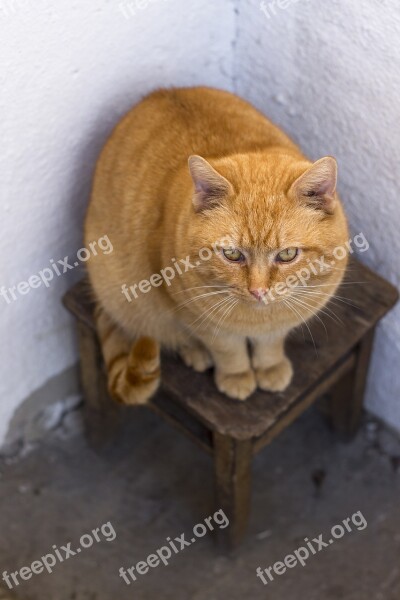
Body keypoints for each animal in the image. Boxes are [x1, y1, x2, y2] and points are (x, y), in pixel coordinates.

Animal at [85, 85, 350, 404]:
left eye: (287, 254)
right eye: (232, 254)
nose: (258, 291)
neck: (256, 318)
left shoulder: (283, 320)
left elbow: (272, 341)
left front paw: (270, 366)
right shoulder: (195, 315)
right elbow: (227, 349)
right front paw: (236, 376)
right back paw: (195, 352)